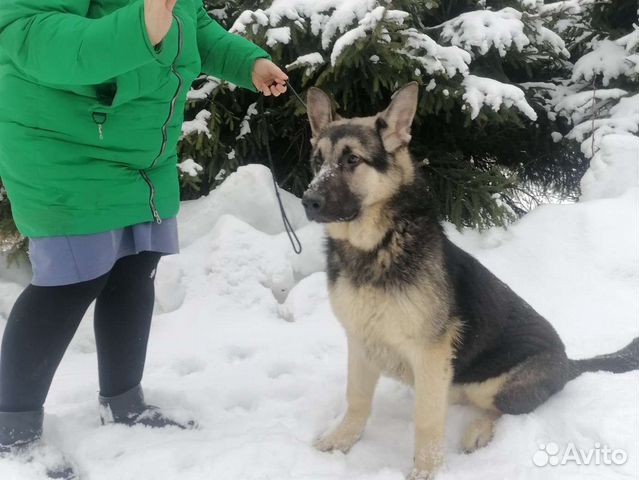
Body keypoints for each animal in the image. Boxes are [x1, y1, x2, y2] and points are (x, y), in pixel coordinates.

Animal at [302, 82, 639, 480]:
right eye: (317, 160)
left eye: (352, 160)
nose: (308, 201)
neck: (376, 246)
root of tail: (569, 362)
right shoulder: (361, 343)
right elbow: (356, 399)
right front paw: (341, 440)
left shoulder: (429, 354)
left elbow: (427, 420)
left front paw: (427, 469)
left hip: (492, 385)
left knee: (499, 409)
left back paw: (477, 431)